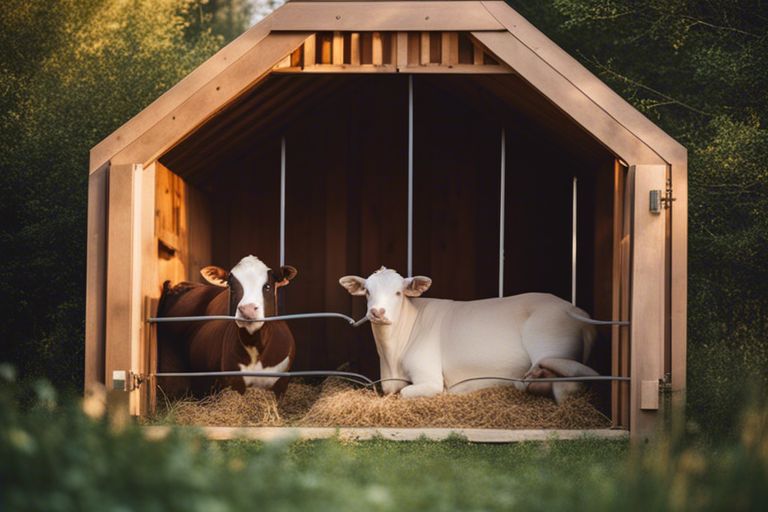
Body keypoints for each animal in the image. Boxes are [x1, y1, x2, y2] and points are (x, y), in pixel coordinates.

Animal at [340, 268, 600, 404]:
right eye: (368, 292)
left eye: (398, 293)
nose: (377, 312)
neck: (391, 357)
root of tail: (576, 310)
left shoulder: (429, 377)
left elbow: (406, 393)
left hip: (549, 342)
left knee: (568, 383)